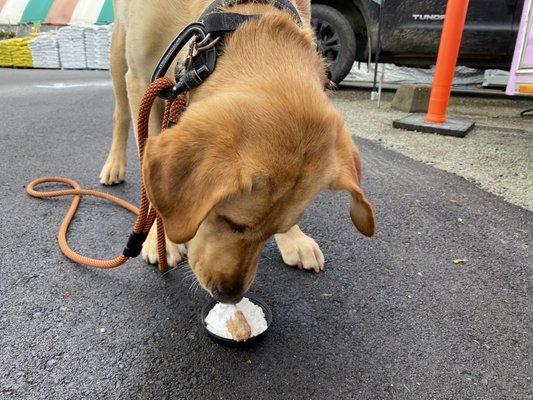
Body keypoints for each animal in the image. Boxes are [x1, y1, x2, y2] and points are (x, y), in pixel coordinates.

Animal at [100, 0, 374, 302]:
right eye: (230, 221)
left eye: (275, 230)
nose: (229, 296)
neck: (239, 15)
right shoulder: (142, 79)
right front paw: (160, 241)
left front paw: (294, 238)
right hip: (119, 55)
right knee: (120, 115)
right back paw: (113, 166)